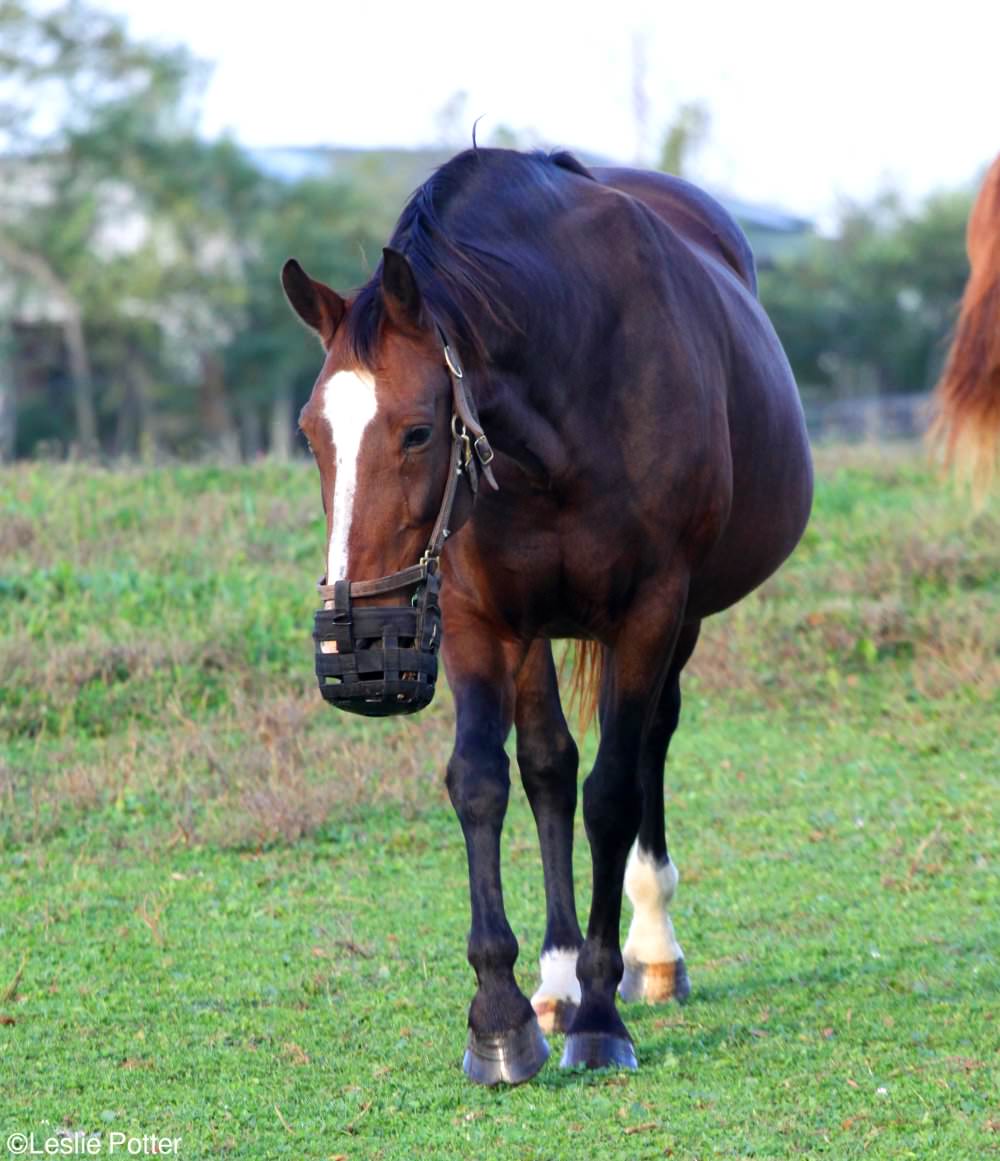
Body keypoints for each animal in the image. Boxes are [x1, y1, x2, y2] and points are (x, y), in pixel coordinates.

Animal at [281, 149, 813, 1082]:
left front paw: (601, 1015)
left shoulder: (649, 611)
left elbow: (612, 792)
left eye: (417, 432)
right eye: (314, 434)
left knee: (648, 748)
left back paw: (650, 952)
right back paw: (556, 980)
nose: (359, 647)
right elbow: (489, 780)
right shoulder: (478, 619)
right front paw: (500, 1018)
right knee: (549, 767)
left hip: (679, 624)